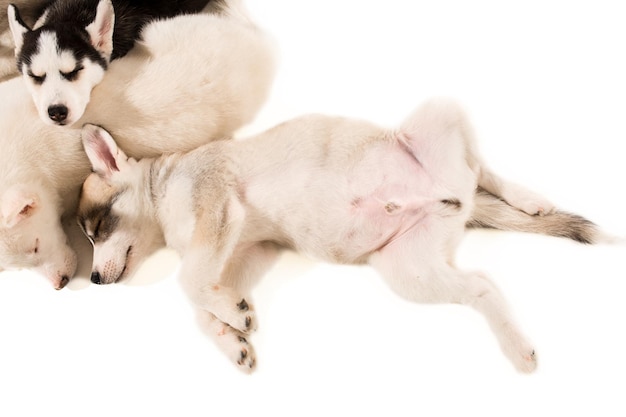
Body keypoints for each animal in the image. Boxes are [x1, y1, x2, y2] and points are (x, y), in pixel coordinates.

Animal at [75, 99, 604, 372]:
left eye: (98, 228)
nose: (94, 283)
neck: (164, 190)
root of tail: (455, 197)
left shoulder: (216, 205)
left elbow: (187, 283)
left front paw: (230, 319)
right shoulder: (245, 251)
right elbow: (203, 303)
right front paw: (232, 335)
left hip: (436, 113)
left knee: (483, 168)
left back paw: (528, 197)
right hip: (409, 273)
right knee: (481, 285)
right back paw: (517, 348)